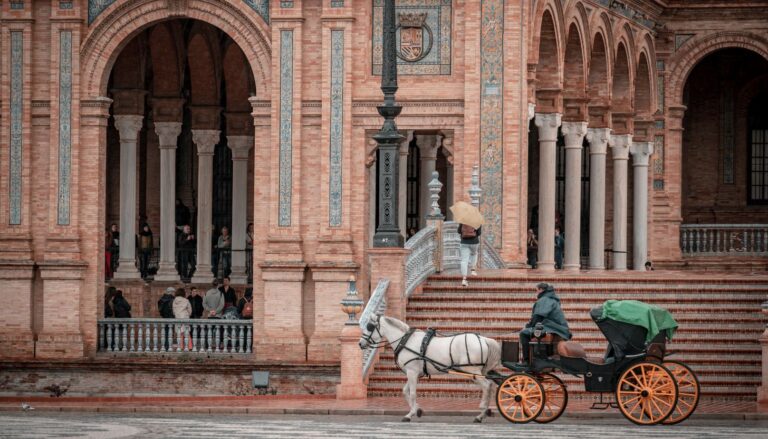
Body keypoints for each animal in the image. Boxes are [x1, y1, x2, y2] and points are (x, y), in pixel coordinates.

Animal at [362, 314, 504, 424]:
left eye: (370, 327)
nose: (360, 343)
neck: (405, 341)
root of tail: (484, 339)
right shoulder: (414, 373)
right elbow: (405, 391)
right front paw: (417, 410)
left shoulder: (412, 372)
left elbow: (412, 393)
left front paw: (409, 414)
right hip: (477, 372)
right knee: (489, 385)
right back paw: (484, 413)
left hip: (472, 371)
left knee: (487, 386)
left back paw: (481, 413)